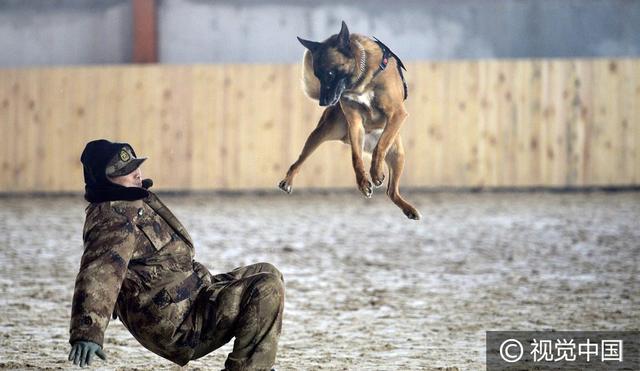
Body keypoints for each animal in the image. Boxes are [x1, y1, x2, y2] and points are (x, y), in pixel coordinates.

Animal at [276, 21, 420, 221]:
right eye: (317, 75)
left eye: (329, 73)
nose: (323, 102)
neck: (361, 79)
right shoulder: (355, 123)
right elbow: (355, 158)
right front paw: (363, 183)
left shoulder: (397, 114)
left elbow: (381, 146)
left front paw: (376, 172)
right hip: (321, 134)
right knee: (298, 161)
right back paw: (287, 181)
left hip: (398, 154)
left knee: (391, 191)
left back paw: (409, 209)